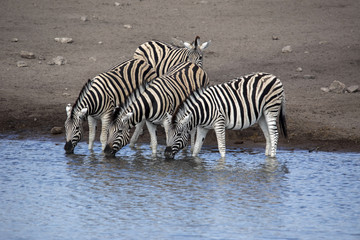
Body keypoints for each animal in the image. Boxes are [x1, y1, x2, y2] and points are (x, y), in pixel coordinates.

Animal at [64, 36, 211, 155]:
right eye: (65, 128)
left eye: (76, 128)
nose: (66, 148)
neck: (94, 97)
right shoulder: (91, 116)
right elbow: (91, 136)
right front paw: (90, 153)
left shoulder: (106, 114)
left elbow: (102, 137)